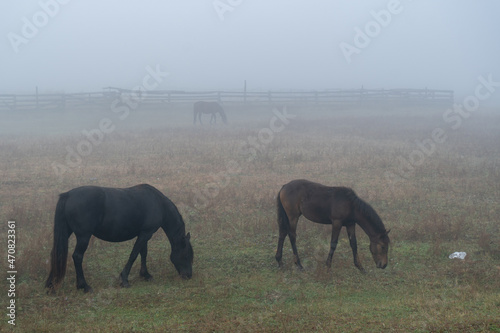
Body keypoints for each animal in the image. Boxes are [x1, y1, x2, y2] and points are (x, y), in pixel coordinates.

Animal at [45, 183, 193, 292]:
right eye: (187, 255)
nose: (189, 276)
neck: (157, 203)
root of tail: (68, 195)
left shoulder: (144, 233)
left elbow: (143, 253)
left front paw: (145, 274)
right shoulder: (146, 233)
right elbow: (134, 255)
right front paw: (124, 280)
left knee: (56, 253)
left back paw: (50, 284)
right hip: (83, 236)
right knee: (77, 256)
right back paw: (84, 286)